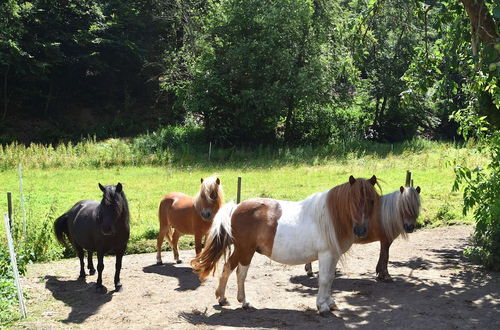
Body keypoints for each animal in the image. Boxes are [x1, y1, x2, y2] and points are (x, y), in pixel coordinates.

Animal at [191, 175, 378, 314]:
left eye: (372, 201)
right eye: (353, 201)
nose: (361, 230)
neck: (330, 217)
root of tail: (236, 207)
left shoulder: (333, 255)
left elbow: (331, 278)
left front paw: (330, 303)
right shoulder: (326, 254)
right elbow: (325, 279)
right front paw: (322, 306)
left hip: (242, 250)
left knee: (228, 268)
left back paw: (223, 298)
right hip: (246, 251)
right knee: (239, 273)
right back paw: (243, 301)